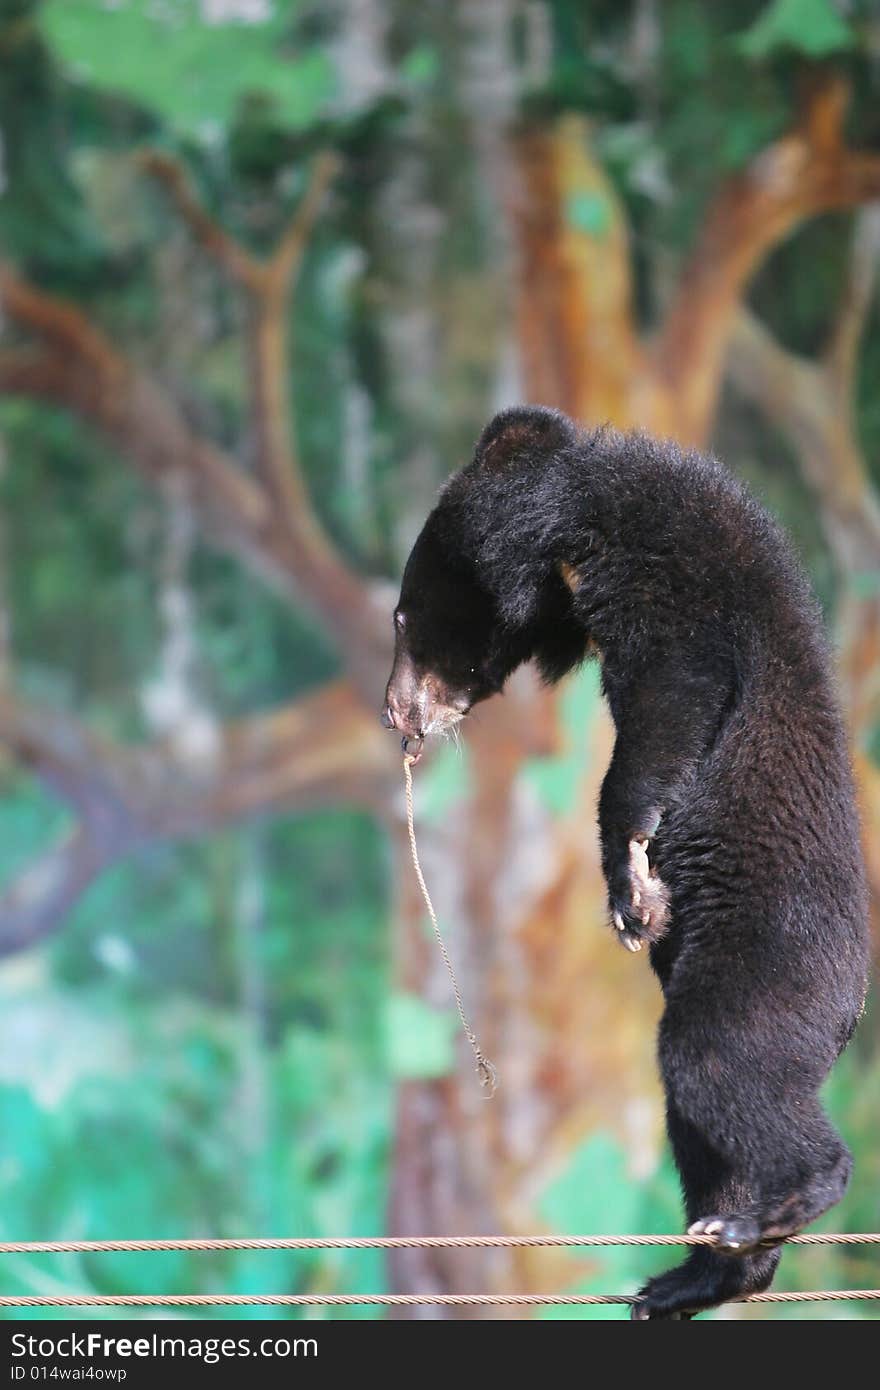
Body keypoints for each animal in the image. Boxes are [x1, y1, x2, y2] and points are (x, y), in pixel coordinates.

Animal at [380, 405, 867, 1317]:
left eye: (400, 618)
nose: (394, 716)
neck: (579, 523)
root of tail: (851, 1012)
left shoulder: (680, 601)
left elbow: (673, 708)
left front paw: (633, 894)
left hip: (772, 969)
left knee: (716, 1062)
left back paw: (767, 1213)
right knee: (699, 1122)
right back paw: (687, 1276)